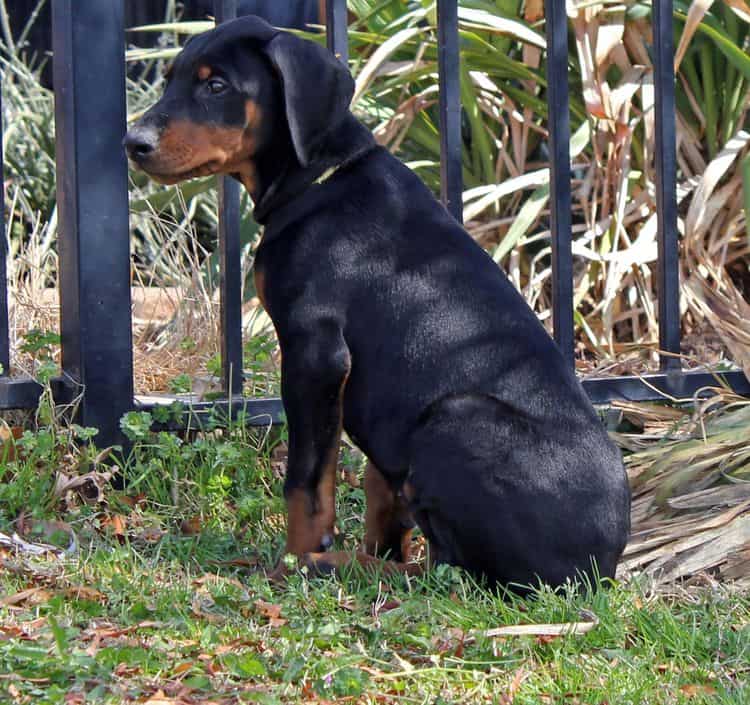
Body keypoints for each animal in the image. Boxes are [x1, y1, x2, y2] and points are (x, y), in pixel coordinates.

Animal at [126, 15, 632, 588]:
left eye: (216, 86)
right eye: (170, 78)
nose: (133, 142)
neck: (323, 178)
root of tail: (598, 568)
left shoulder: (314, 353)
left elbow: (306, 481)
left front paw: (292, 562)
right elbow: (381, 497)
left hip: (455, 418)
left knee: (455, 575)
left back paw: (335, 565)